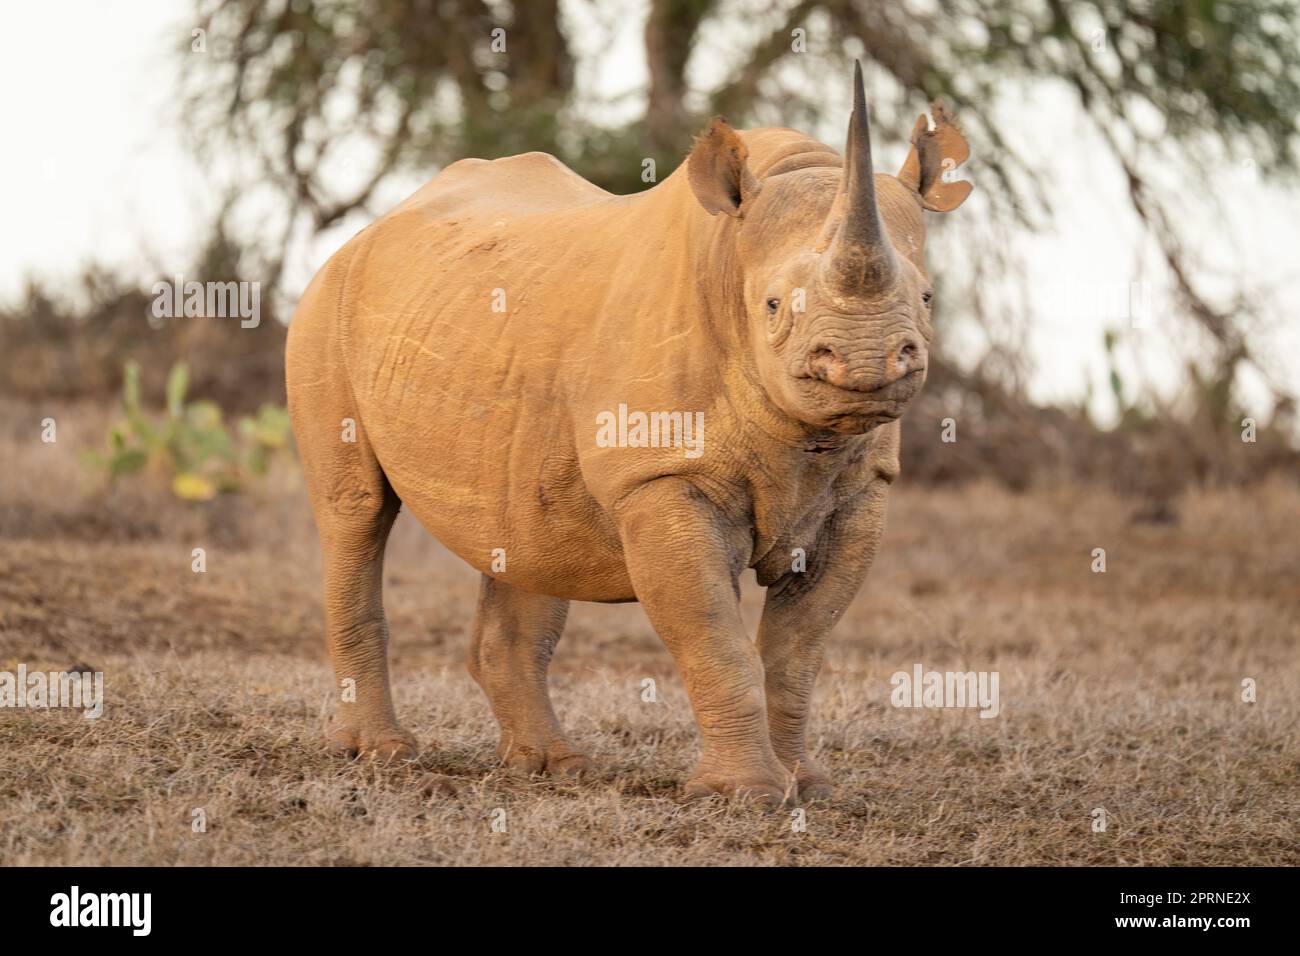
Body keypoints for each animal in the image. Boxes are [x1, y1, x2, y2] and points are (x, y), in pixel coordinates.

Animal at [286, 62, 971, 803]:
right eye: (772, 306)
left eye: (927, 298)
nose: (867, 362)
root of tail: (368, 231)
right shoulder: (663, 475)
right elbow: (714, 638)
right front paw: (742, 796)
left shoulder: (863, 488)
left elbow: (798, 649)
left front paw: (805, 787)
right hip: (324, 309)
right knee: (355, 512)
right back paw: (382, 755)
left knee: (526, 531)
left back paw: (551, 766)